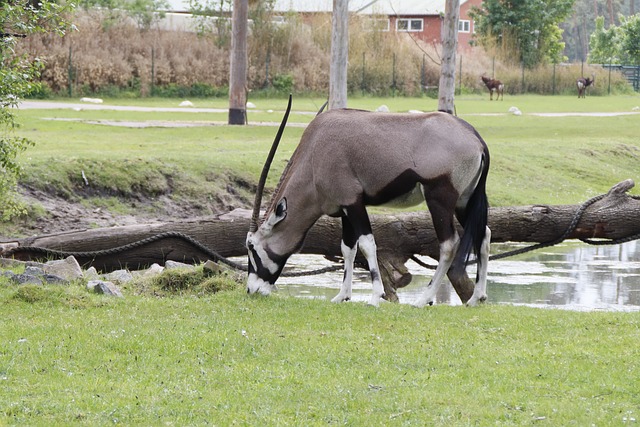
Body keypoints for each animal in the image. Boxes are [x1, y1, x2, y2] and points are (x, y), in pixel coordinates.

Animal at [245, 98, 490, 308]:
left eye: (251, 246)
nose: (251, 289)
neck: (315, 155)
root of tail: (476, 140)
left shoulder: (353, 202)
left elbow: (367, 244)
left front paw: (374, 297)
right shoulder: (343, 208)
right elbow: (347, 248)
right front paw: (342, 296)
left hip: (440, 200)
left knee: (449, 244)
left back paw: (423, 300)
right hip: (464, 201)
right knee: (483, 234)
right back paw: (476, 298)